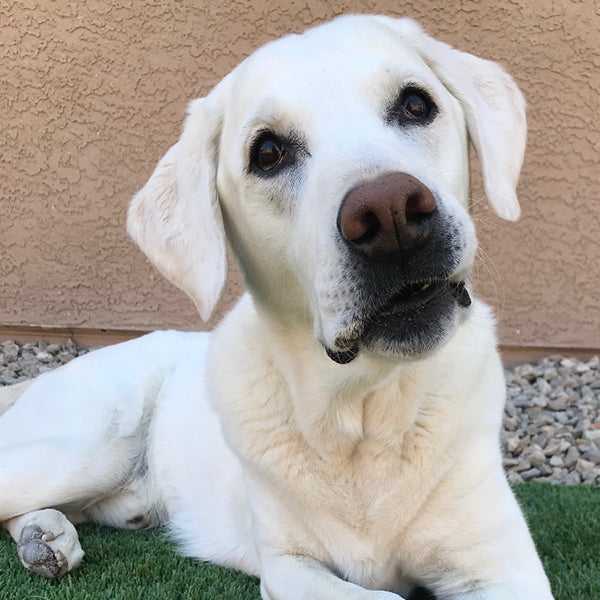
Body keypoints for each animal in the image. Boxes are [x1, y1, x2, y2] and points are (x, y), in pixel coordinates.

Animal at [0, 14, 552, 600]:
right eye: (267, 153)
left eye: (415, 104)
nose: (391, 214)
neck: (364, 412)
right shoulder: (290, 567)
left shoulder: (504, 566)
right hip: (81, 450)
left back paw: (45, 536)